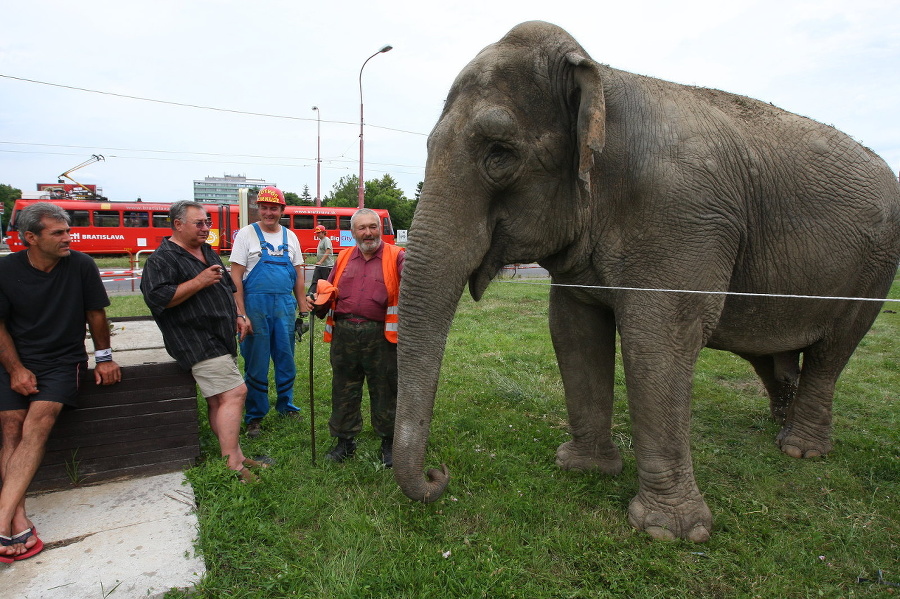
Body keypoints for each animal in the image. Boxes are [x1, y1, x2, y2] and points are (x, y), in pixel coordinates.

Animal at [394, 21, 900, 540]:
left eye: (500, 155)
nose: (437, 476)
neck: (603, 81)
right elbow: (573, 330)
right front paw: (584, 469)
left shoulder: (682, 217)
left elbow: (657, 340)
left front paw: (669, 533)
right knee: (773, 355)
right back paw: (780, 426)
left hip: (875, 269)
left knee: (832, 351)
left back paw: (800, 449)